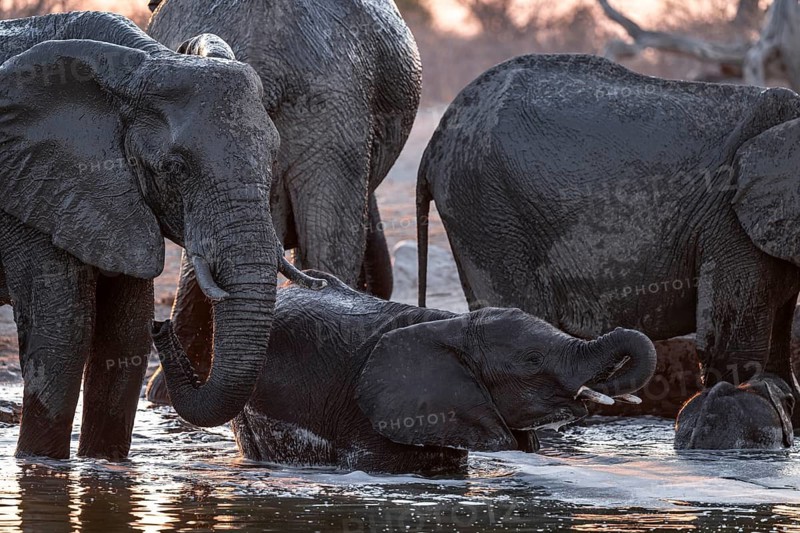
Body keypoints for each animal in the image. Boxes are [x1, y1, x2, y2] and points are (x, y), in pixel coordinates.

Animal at [0, 11, 320, 460]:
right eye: (175, 169)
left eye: (272, 159)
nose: (163, 326)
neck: (143, 63)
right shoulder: (27, 183)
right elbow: (64, 331)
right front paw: (39, 466)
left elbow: (125, 337)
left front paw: (104, 465)